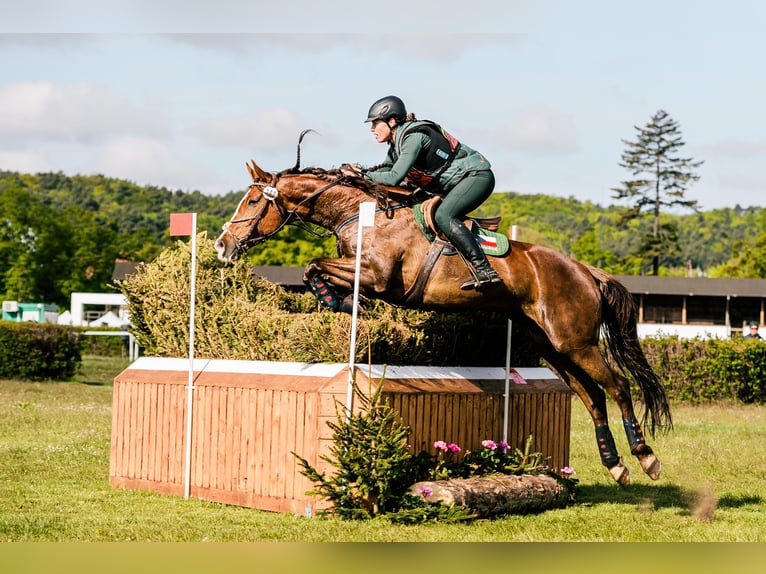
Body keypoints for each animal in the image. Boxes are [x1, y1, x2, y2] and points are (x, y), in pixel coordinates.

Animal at [214, 135, 672, 486]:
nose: (222, 245)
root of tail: (585, 270)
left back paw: (645, 456)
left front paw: (340, 300)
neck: (360, 215)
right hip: (552, 347)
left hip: (575, 341)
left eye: (252, 201)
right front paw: (337, 300)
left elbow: (317, 266)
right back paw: (615, 466)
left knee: (619, 387)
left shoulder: (378, 276)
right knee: (593, 397)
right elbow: (313, 270)